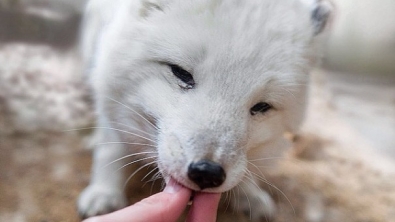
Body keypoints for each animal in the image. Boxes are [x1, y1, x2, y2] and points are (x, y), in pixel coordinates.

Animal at [76, 0, 332, 219]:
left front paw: (249, 194)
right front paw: (104, 192)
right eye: (181, 73)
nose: (207, 172)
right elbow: (110, 148)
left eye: (261, 106)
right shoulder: (110, 92)